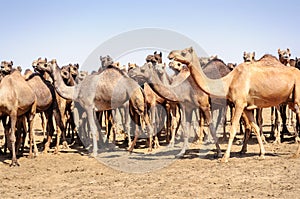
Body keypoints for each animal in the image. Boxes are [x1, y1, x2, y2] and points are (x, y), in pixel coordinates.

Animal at [169, 46, 300, 162]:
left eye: (184, 52)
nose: (170, 54)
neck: (229, 81)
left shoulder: (239, 104)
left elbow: (233, 128)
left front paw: (224, 157)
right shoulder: (247, 107)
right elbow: (255, 127)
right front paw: (262, 154)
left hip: (297, 99)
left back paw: (295, 154)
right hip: (291, 102)